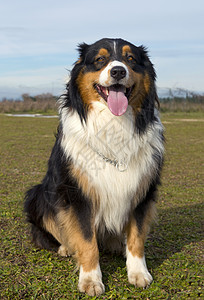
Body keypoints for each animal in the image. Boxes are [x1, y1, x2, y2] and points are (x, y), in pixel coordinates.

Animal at [24, 38, 164, 298]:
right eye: (100, 59)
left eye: (131, 59)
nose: (118, 71)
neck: (113, 124)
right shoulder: (78, 194)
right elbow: (87, 242)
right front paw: (90, 280)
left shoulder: (142, 191)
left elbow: (137, 237)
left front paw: (138, 273)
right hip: (37, 194)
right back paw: (65, 247)